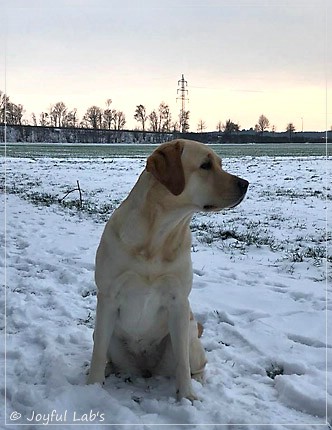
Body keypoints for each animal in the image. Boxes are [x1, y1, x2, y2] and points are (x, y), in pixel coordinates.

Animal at [87, 139, 248, 402]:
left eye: (220, 164)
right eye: (205, 165)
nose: (245, 184)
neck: (159, 234)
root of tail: (145, 369)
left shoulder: (179, 301)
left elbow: (182, 363)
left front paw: (187, 397)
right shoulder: (108, 296)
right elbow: (98, 352)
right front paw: (92, 386)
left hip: (189, 338)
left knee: (196, 364)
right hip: (107, 333)